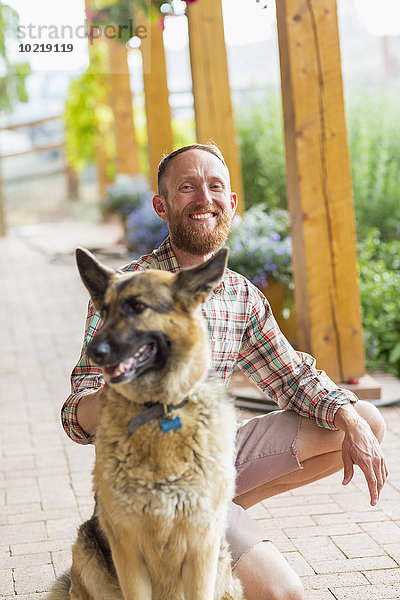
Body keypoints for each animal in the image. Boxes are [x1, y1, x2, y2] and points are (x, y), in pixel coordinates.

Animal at [48, 247, 245, 600]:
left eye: (137, 307)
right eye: (105, 310)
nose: (93, 351)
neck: (159, 411)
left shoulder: (201, 550)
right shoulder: (129, 554)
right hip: (87, 556)